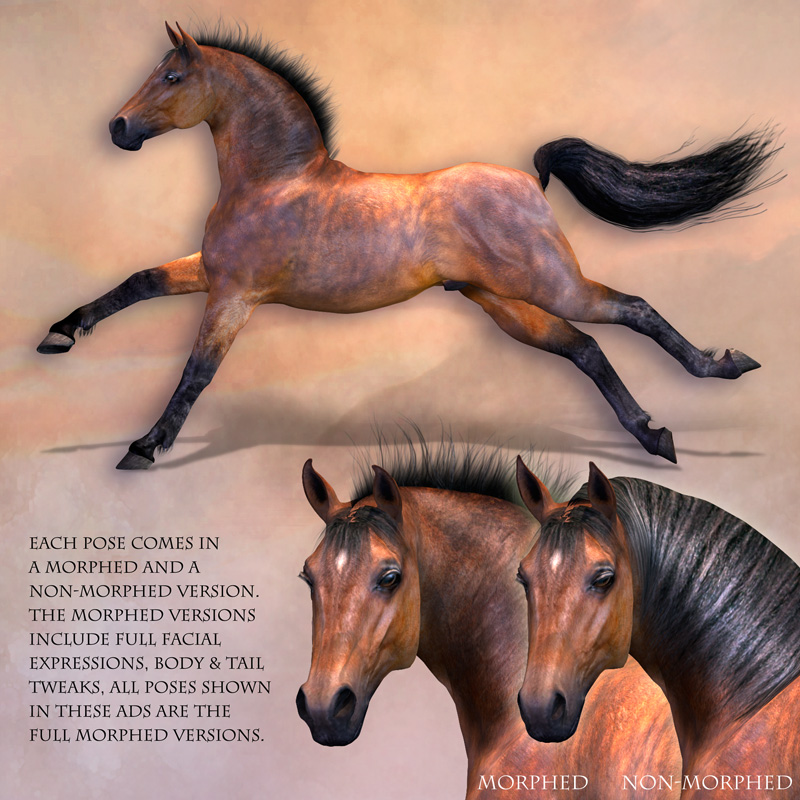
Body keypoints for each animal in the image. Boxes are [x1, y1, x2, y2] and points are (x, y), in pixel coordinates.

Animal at [36, 21, 780, 469]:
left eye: (172, 77)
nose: (118, 128)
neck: (274, 179)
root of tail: (530, 178)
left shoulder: (235, 295)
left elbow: (196, 370)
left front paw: (144, 446)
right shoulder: (211, 273)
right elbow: (136, 282)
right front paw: (60, 335)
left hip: (550, 286)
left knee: (632, 310)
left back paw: (722, 369)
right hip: (504, 305)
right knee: (586, 348)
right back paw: (654, 434)